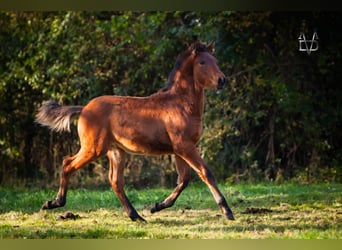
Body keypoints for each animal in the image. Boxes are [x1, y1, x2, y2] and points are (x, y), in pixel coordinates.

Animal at [35, 40, 235, 222]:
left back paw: (136, 216)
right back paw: (54, 202)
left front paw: (157, 206)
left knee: (116, 182)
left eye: (215, 60)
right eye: (202, 62)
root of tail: (84, 108)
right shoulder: (184, 147)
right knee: (67, 164)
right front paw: (227, 211)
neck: (181, 104)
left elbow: (183, 180)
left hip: (116, 151)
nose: (222, 80)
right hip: (93, 149)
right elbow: (205, 173)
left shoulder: (180, 149)